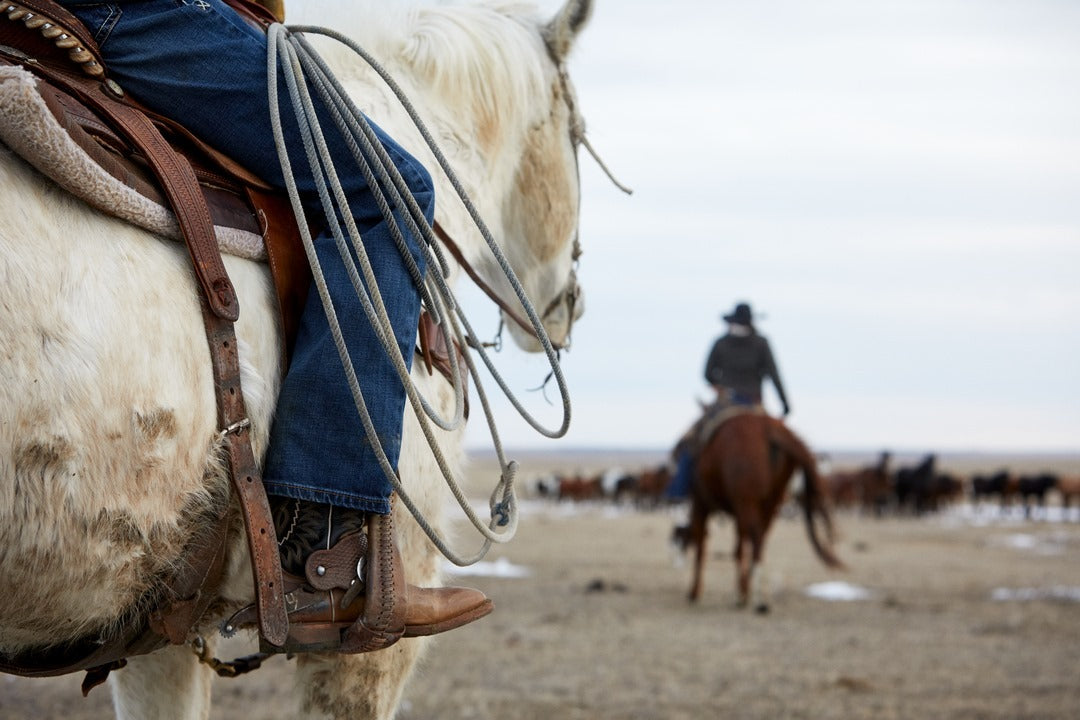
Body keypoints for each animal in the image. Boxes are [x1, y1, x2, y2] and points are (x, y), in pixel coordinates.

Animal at [682, 414, 842, 613]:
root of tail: (770, 427)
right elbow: (738, 545)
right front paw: (741, 589)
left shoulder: (701, 503)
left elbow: (702, 547)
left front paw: (695, 592)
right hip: (769, 503)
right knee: (759, 538)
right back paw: (752, 592)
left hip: (746, 502)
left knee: (754, 537)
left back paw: (755, 598)